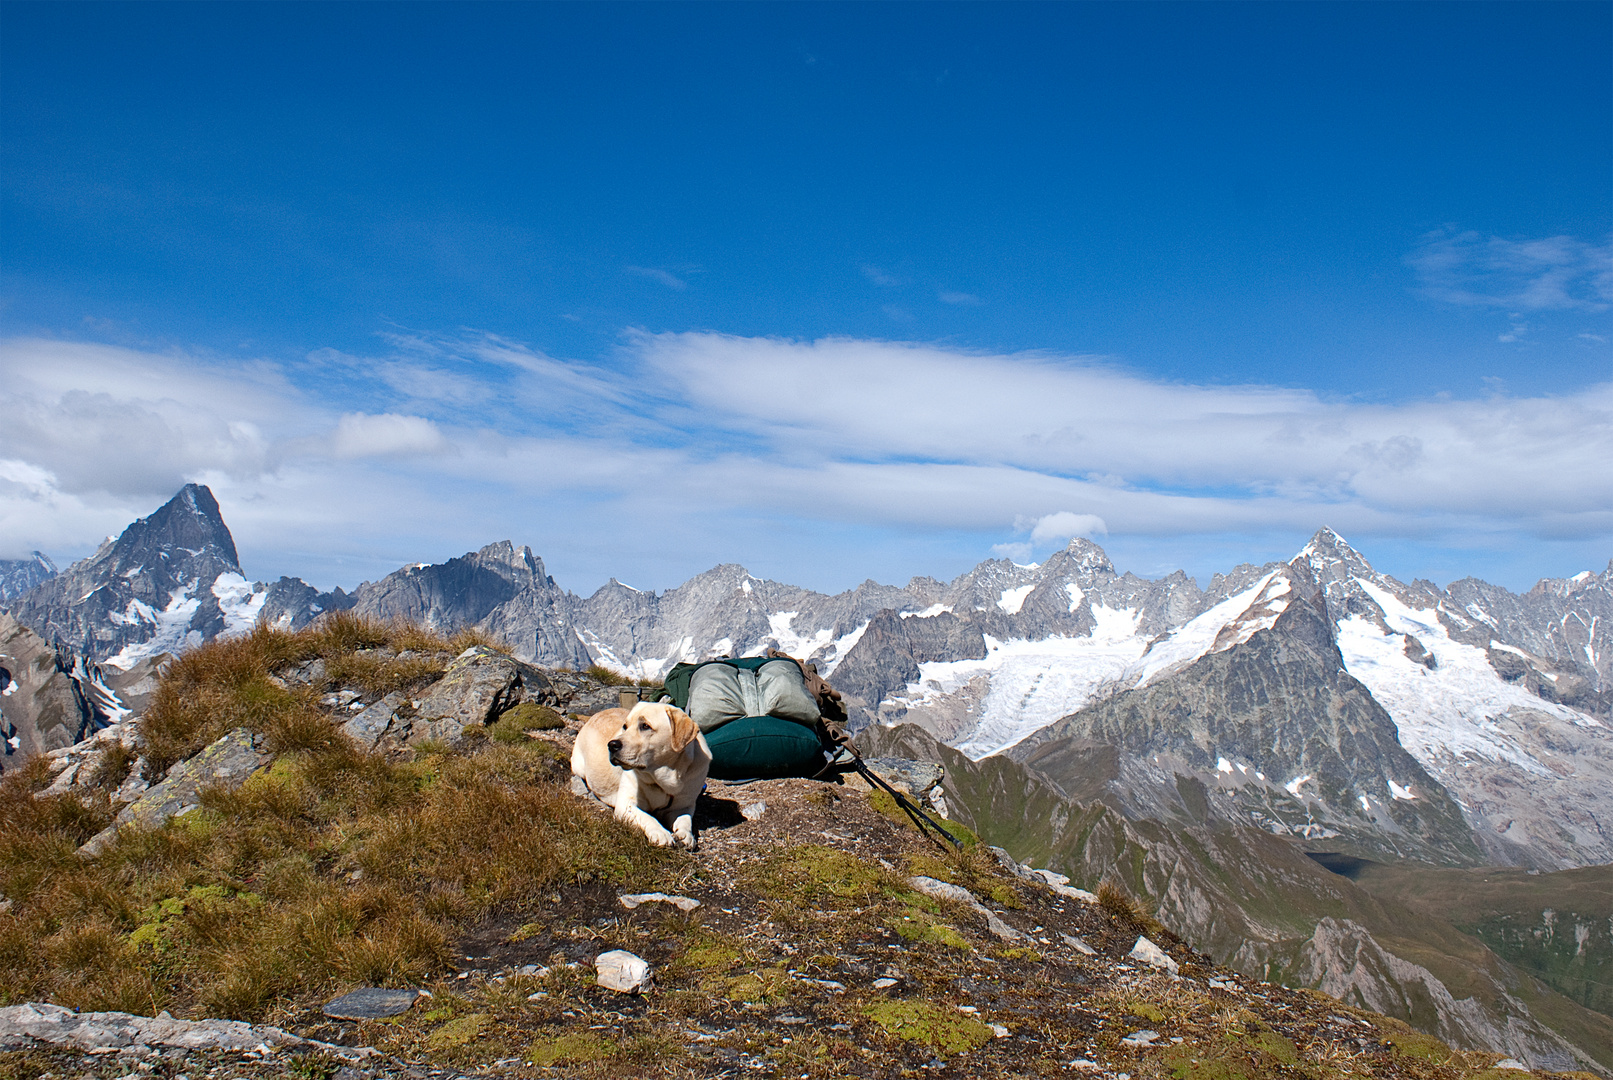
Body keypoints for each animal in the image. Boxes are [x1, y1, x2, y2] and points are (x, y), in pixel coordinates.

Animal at [574, 706, 712, 851]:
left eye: (645, 726)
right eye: (625, 726)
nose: (612, 745)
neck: (665, 780)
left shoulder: (683, 806)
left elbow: (685, 819)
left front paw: (686, 835)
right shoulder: (625, 804)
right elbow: (647, 817)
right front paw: (661, 832)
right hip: (579, 766)